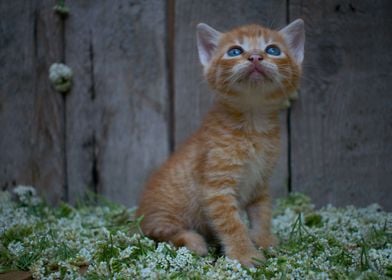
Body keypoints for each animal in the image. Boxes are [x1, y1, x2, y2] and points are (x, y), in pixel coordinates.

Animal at [136, 19, 304, 266]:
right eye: (235, 51)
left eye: (273, 50)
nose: (255, 57)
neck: (253, 123)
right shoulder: (216, 189)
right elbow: (232, 224)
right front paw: (245, 254)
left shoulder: (260, 183)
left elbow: (262, 213)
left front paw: (264, 240)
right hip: (164, 215)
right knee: (159, 232)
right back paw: (193, 241)